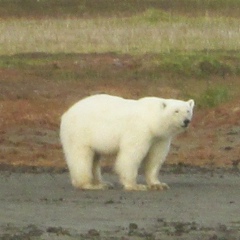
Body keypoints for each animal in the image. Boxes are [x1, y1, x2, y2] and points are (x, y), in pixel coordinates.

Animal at [59, 94, 193, 191]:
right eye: (176, 111)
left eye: (188, 110)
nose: (186, 121)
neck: (152, 119)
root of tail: (66, 114)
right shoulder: (139, 129)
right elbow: (131, 155)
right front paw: (135, 186)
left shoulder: (160, 137)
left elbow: (155, 158)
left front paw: (158, 184)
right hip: (80, 132)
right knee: (81, 157)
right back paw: (91, 185)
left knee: (95, 158)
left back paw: (102, 183)